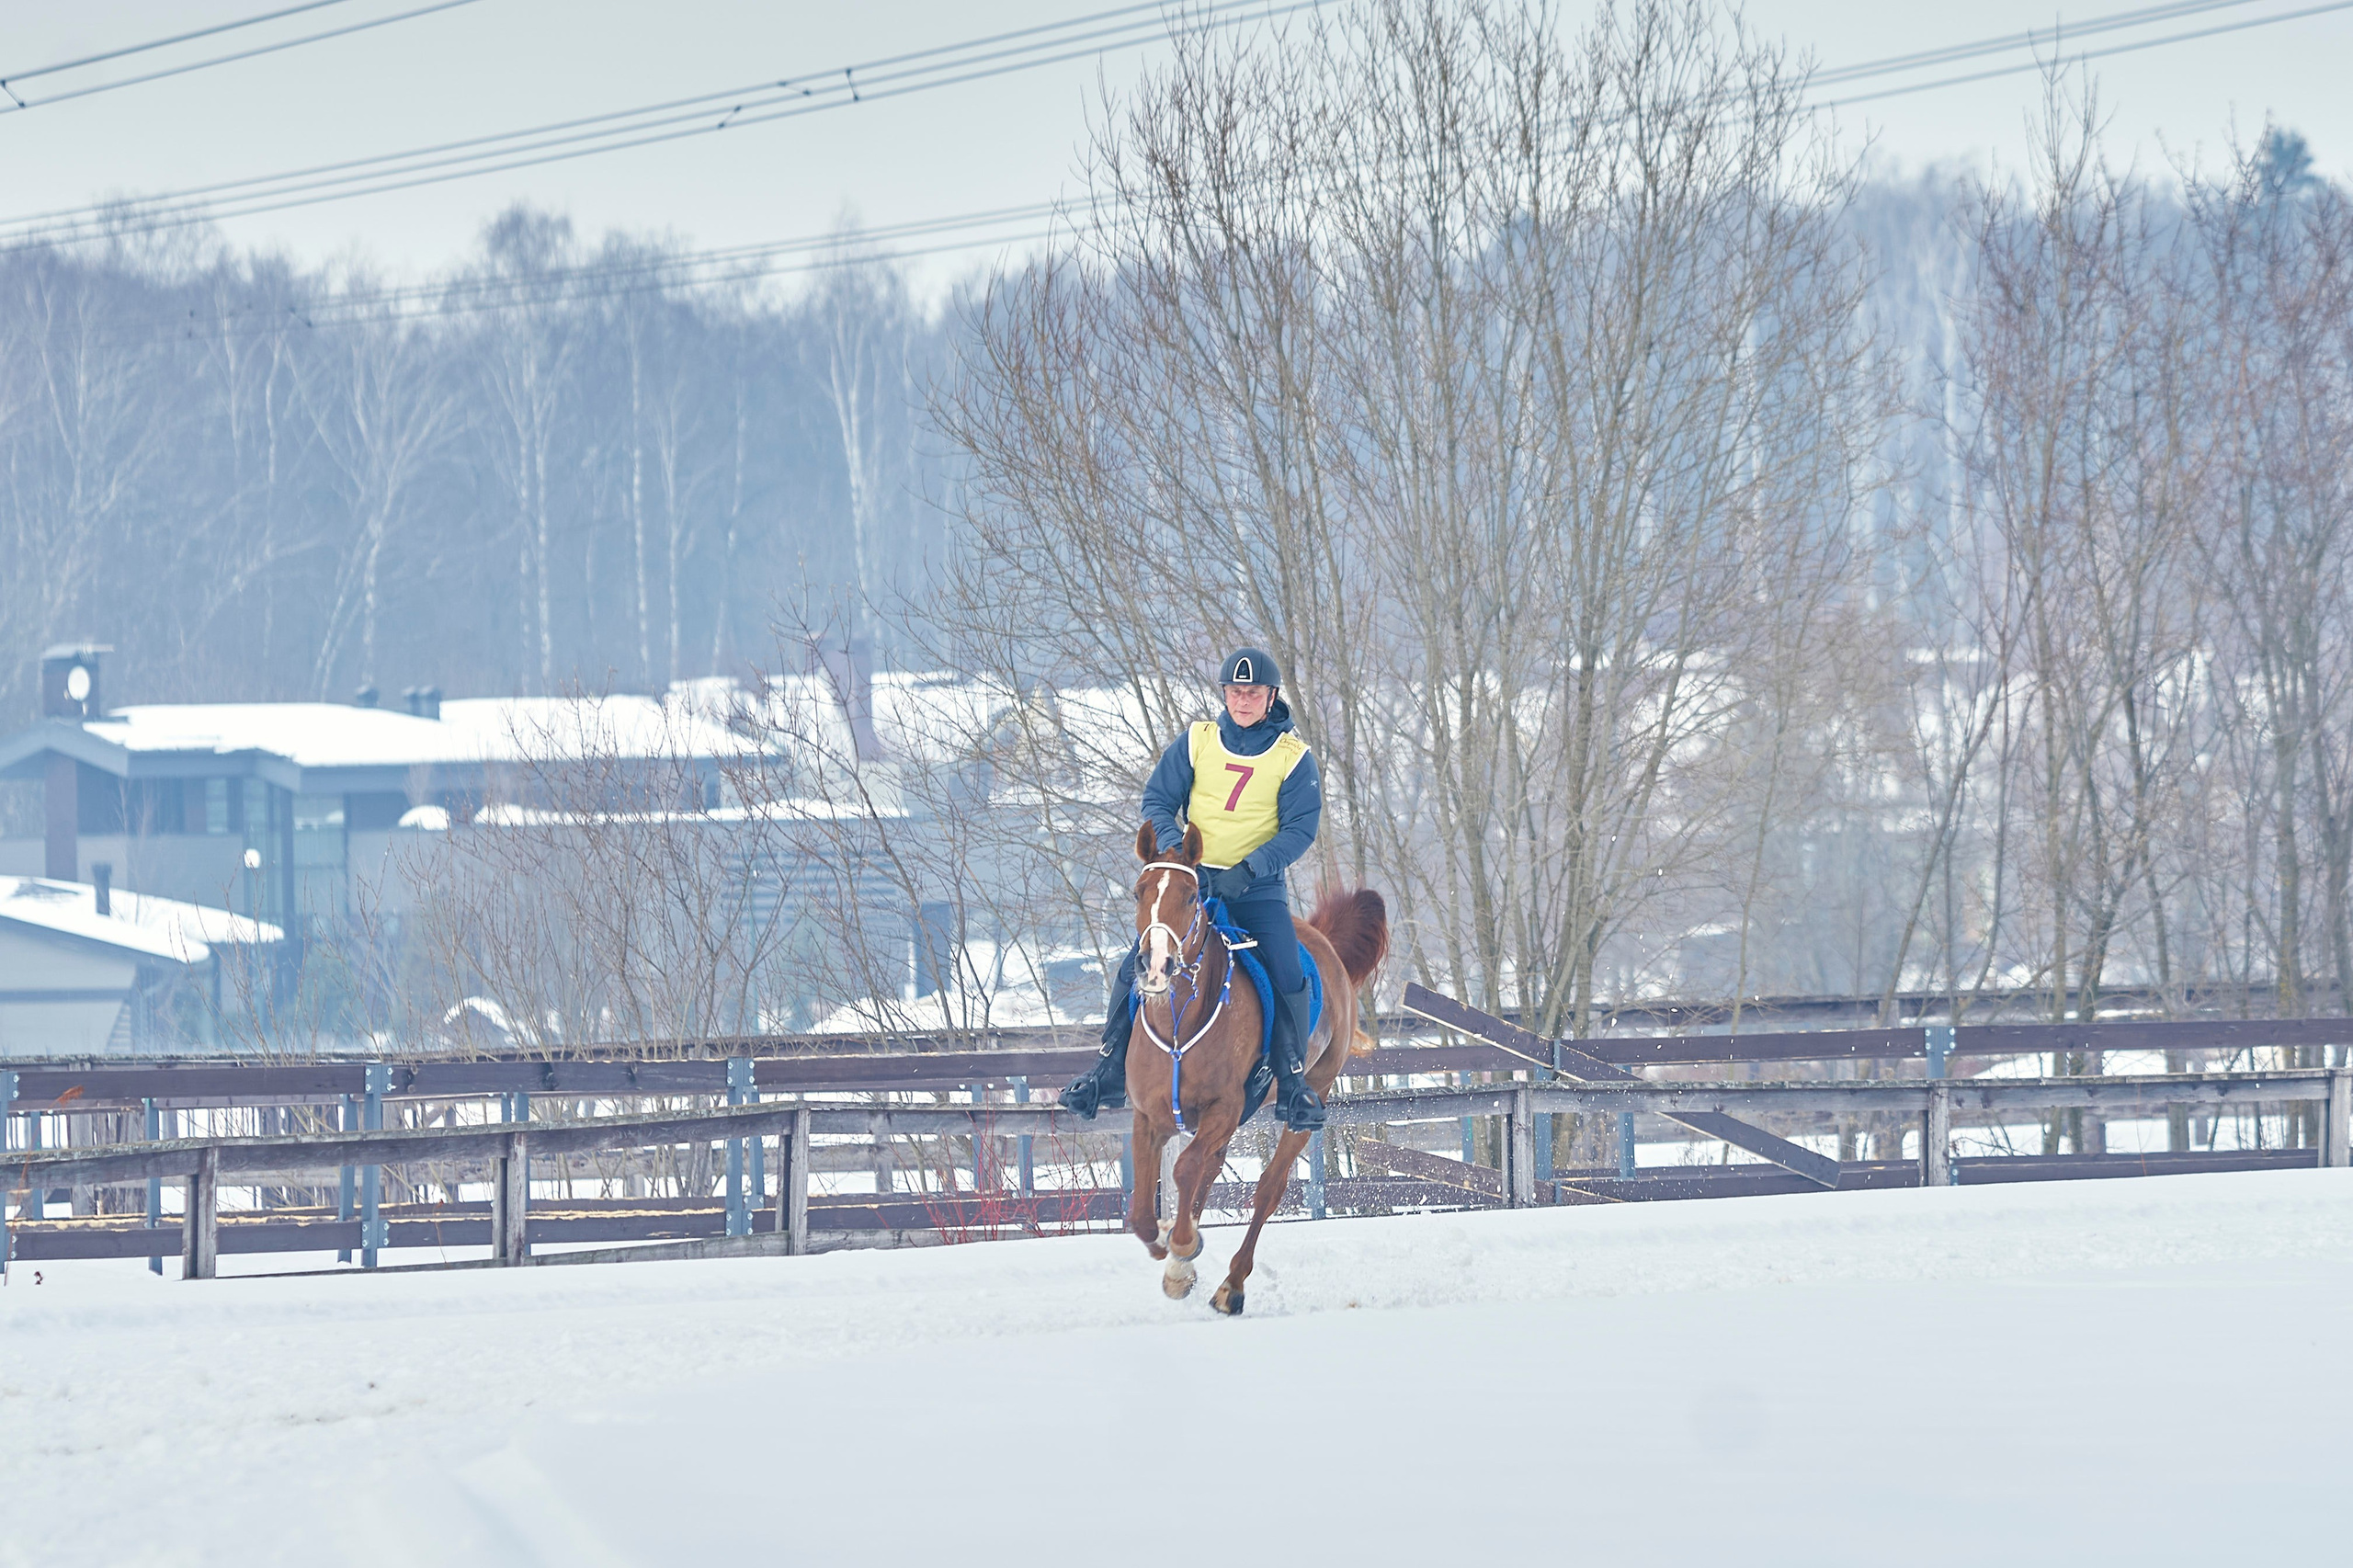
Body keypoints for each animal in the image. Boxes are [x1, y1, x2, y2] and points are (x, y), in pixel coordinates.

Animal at [1120, 820, 1389, 1314]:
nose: (1156, 965)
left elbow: (1184, 1169)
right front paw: (1172, 1252)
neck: (1179, 1024)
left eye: (1191, 895)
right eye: (1139, 892)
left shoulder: (1223, 1109)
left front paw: (1183, 1244)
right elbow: (1142, 1213)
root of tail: (1323, 942)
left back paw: (1232, 1286)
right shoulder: (1149, 1116)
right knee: (1211, 1171)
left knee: (1268, 1188)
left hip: (1310, 1096)